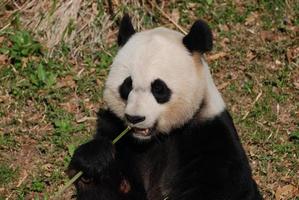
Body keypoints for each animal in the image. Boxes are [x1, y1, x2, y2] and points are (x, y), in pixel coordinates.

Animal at [68, 14, 262, 199]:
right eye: (127, 85)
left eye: (159, 88)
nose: (135, 118)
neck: (153, 139)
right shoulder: (117, 132)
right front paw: (95, 159)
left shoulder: (212, 137)